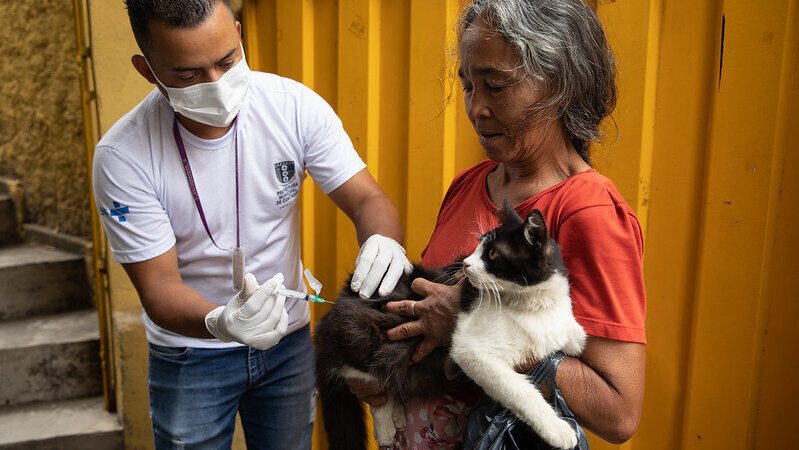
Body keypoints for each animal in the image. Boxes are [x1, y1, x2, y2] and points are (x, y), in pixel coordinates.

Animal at [314, 204, 588, 450]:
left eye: (492, 254)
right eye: (477, 248)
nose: (465, 263)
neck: (530, 303)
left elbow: (572, 330)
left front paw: (576, 339)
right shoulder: (471, 351)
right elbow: (521, 391)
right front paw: (558, 431)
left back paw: (398, 414)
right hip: (361, 335)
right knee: (367, 377)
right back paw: (385, 424)